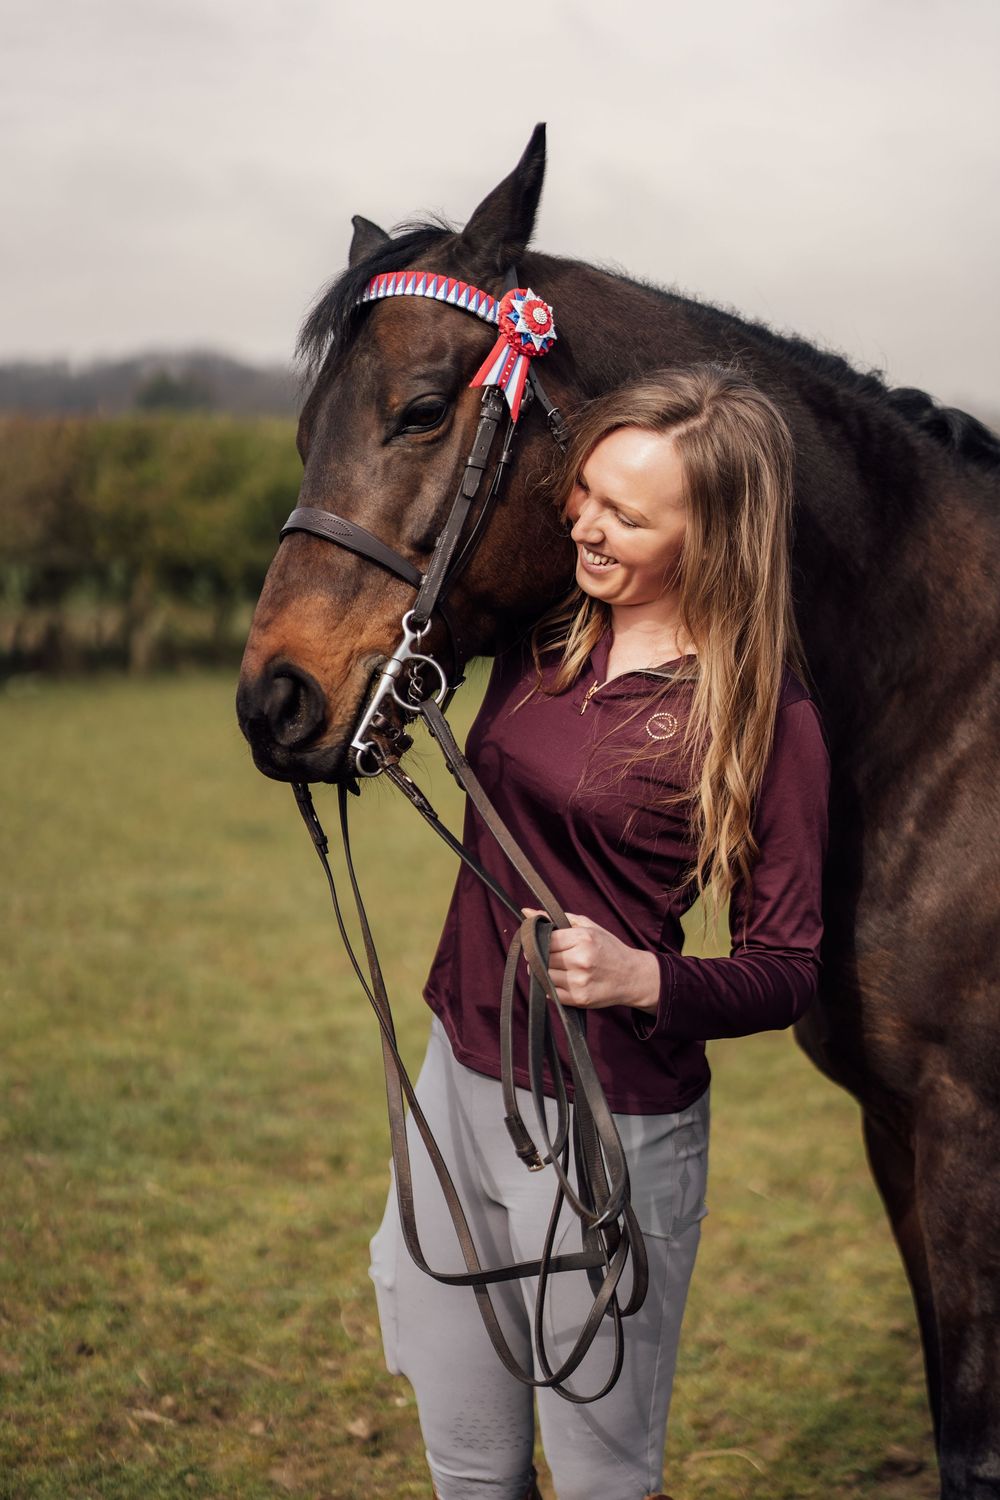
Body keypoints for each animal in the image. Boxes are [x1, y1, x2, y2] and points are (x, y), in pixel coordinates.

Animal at [236, 124, 1000, 1498]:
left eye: (420, 411)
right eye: (308, 425)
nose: (276, 699)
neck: (943, 705)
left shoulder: (967, 1136)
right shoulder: (899, 1134)